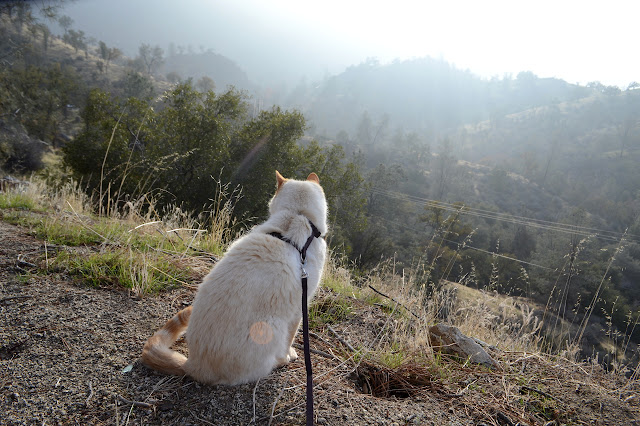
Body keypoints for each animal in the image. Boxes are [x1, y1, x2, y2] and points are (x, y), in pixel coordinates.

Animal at [142, 171, 328, 386]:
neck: (297, 216)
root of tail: (193, 365)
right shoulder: (299, 308)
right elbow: (290, 339)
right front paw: (289, 355)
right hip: (273, 325)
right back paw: (277, 362)